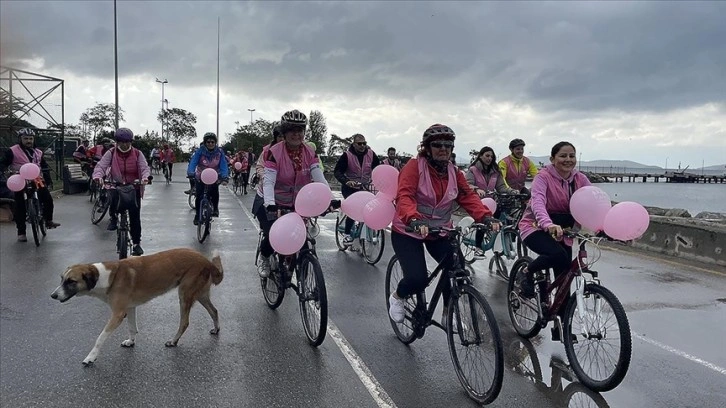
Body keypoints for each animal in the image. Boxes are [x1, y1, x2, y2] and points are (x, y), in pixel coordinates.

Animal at [50, 249, 225, 366]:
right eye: (61, 279)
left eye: (71, 281)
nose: (53, 296)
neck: (106, 277)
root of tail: (206, 260)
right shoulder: (130, 308)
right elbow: (132, 327)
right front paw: (131, 341)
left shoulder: (118, 314)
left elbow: (100, 337)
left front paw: (91, 356)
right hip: (200, 294)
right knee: (214, 310)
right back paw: (216, 329)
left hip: (185, 295)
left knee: (185, 322)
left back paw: (173, 341)